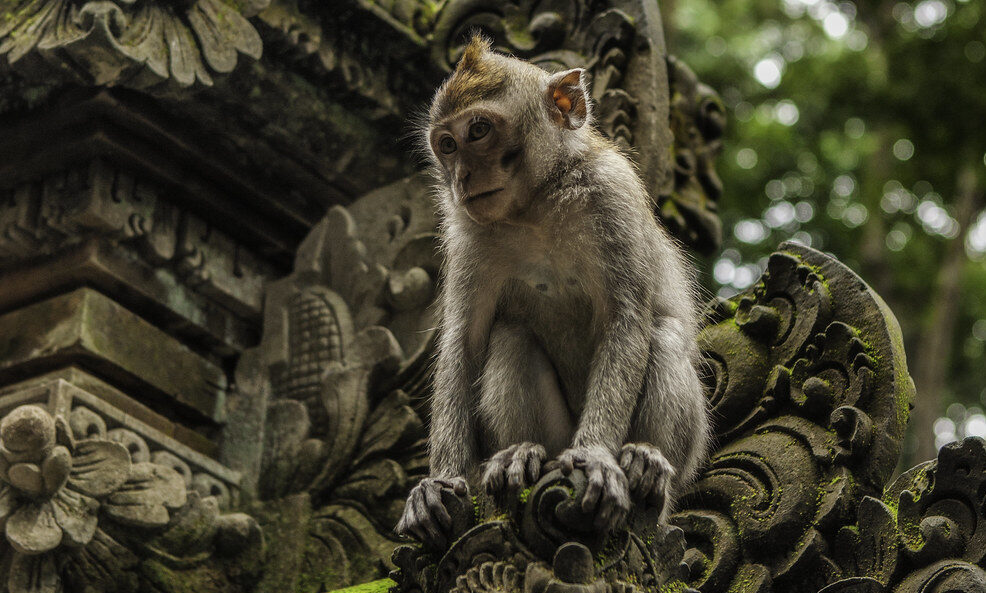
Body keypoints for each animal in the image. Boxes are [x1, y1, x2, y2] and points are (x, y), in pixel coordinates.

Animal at [396, 36, 710, 548]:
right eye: (447, 145)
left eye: (478, 130)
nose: (461, 177)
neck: (537, 204)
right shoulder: (467, 235)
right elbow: (465, 340)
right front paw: (438, 483)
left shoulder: (611, 195)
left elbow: (627, 318)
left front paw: (597, 457)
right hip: (558, 435)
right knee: (511, 335)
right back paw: (521, 455)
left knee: (662, 335)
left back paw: (647, 467)